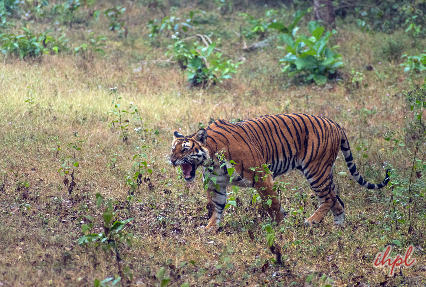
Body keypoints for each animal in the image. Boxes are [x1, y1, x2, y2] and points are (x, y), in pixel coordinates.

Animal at [169, 113, 390, 231]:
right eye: (173, 148)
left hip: (316, 170)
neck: (212, 159)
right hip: (326, 172)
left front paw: (280, 225)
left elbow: (273, 204)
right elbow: (216, 207)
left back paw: (311, 221)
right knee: (337, 200)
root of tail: (335, 123)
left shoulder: (262, 175)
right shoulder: (216, 183)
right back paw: (337, 229)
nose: (171, 160)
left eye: (185, 149)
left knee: (328, 199)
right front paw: (210, 229)